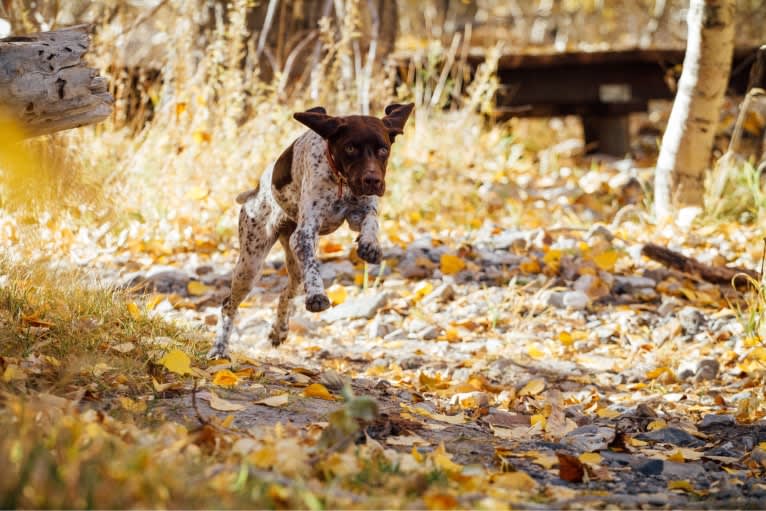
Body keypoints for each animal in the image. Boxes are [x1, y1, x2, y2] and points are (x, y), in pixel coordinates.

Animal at [208, 103, 414, 360]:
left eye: (383, 150)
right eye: (350, 148)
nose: (372, 180)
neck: (341, 181)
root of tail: (255, 190)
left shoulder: (359, 212)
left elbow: (371, 220)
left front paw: (370, 245)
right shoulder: (304, 234)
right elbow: (314, 267)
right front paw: (317, 295)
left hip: (292, 267)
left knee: (286, 291)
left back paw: (279, 330)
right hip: (250, 265)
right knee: (228, 305)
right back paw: (220, 348)